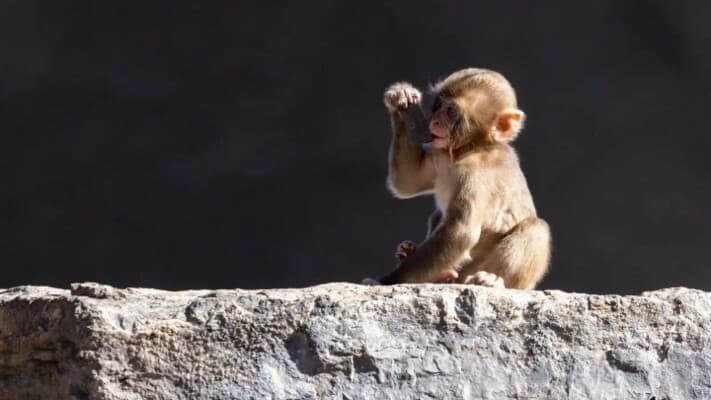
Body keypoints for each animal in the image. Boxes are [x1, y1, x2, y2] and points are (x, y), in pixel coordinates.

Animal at [365, 68, 551, 289]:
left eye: (451, 111)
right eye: (438, 107)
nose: (434, 122)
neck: (472, 148)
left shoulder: (476, 176)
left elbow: (461, 232)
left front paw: (387, 281)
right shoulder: (440, 154)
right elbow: (408, 182)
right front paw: (403, 100)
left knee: (537, 229)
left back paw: (492, 280)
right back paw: (434, 270)